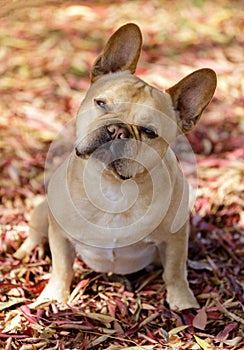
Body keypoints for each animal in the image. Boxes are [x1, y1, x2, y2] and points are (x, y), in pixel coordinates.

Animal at [14, 23, 216, 308]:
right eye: (101, 103)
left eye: (149, 132)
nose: (117, 130)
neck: (112, 187)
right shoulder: (61, 236)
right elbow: (62, 268)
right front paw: (53, 297)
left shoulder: (176, 237)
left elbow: (175, 271)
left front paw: (183, 302)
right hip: (43, 212)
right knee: (34, 234)